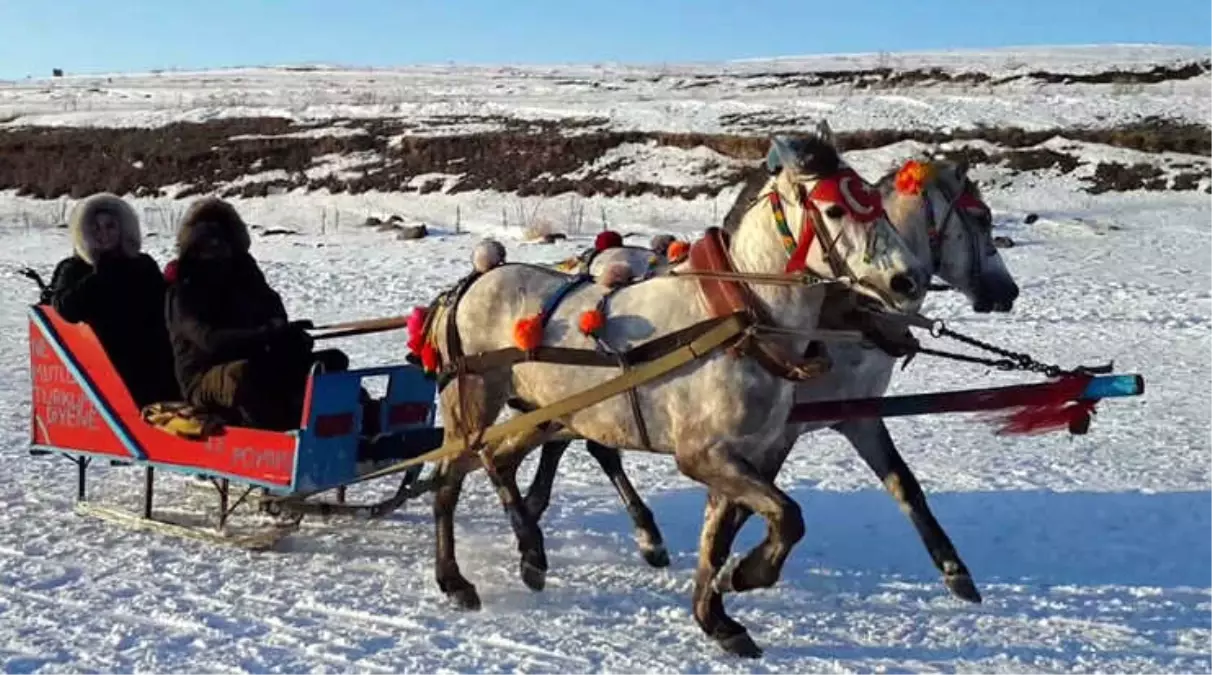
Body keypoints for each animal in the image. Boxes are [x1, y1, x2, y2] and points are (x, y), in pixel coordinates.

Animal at [412, 124, 930, 654]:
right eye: (835, 210)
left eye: (875, 202)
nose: (907, 281)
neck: (740, 317)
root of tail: (467, 287)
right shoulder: (702, 455)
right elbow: (789, 516)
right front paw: (746, 575)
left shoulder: (742, 457)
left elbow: (719, 539)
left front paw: (716, 616)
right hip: (473, 404)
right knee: (448, 482)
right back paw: (456, 578)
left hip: (547, 413)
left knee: (499, 460)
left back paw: (531, 551)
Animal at [521, 153, 1022, 654]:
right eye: (981, 218)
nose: (1009, 292)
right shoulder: (777, 432)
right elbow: (746, 510)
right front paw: (731, 580)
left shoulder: (856, 416)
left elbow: (904, 484)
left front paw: (954, 569)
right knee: (581, 442)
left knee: (573, 438)